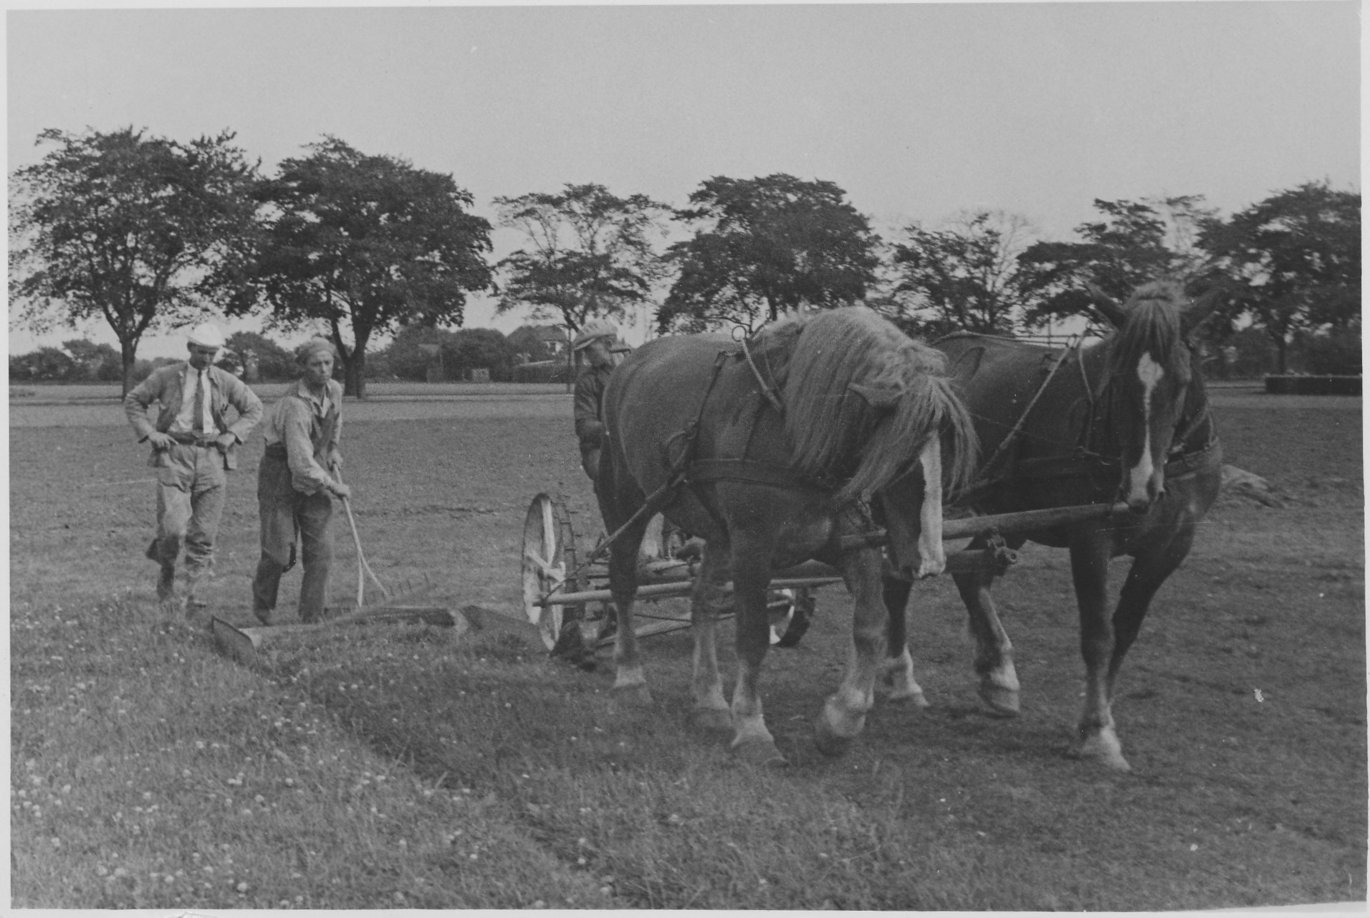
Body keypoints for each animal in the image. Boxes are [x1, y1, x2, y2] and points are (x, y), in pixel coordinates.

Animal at [597, 305, 975, 767]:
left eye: (947, 455)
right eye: (901, 460)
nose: (930, 562)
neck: (793, 429)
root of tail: (627, 365)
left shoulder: (850, 542)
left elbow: (872, 623)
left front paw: (841, 720)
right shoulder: (753, 548)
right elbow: (753, 636)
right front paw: (752, 729)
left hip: (718, 535)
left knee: (702, 600)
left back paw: (710, 702)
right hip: (625, 502)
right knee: (623, 584)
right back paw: (630, 679)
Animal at [882, 280, 1227, 767]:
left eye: (1180, 381)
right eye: (1116, 379)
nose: (1141, 487)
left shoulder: (1170, 547)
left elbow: (1124, 632)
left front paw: (1097, 718)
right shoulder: (1090, 538)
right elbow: (1098, 635)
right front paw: (1097, 733)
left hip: (1014, 513)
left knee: (972, 576)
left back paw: (998, 676)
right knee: (898, 577)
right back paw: (902, 678)